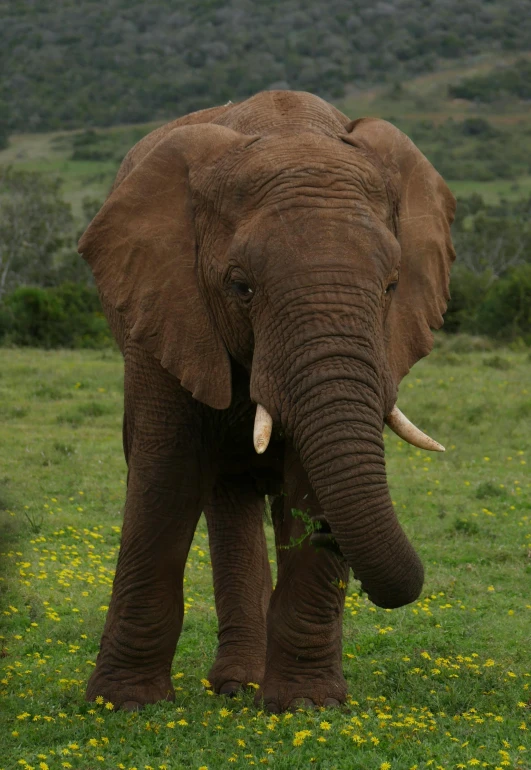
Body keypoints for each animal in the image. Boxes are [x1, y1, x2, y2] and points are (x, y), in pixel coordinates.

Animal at [79, 90, 458, 712]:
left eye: (391, 287)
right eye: (241, 287)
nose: (325, 531)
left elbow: (309, 472)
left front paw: (307, 707)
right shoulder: (164, 304)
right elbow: (165, 473)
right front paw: (123, 705)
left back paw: (246, 686)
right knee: (223, 493)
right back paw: (235, 686)